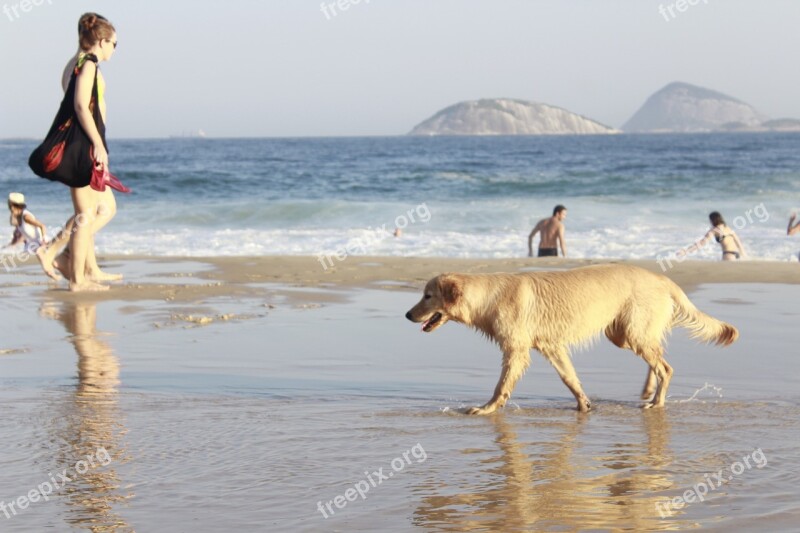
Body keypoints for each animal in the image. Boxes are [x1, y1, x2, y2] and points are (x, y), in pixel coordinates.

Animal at [406, 264, 736, 414]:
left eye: (428, 296)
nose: (408, 315)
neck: (489, 297)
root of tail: (663, 278)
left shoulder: (516, 350)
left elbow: (501, 386)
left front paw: (486, 408)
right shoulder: (552, 346)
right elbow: (570, 378)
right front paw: (584, 404)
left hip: (633, 332)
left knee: (665, 367)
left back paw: (656, 402)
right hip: (623, 334)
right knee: (658, 360)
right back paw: (648, 391)